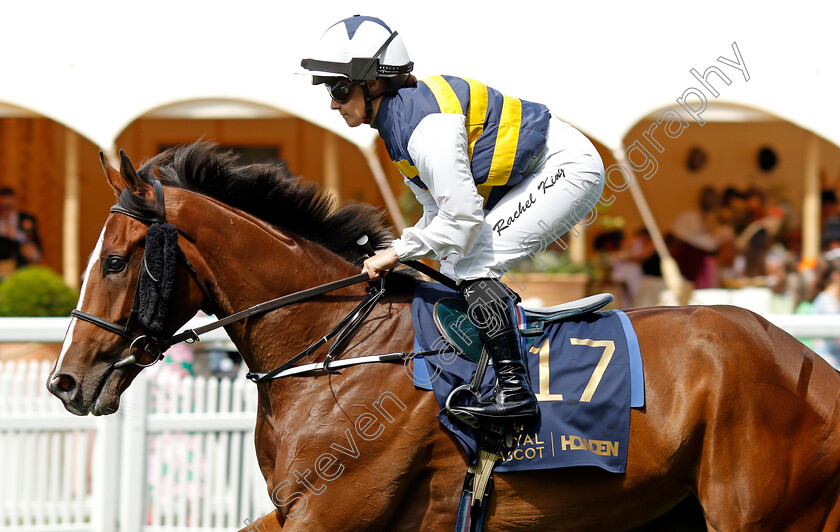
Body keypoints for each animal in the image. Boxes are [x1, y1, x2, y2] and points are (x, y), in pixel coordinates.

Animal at [49, 142, 840, 532]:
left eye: (114, 261)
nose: (65, 380)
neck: (333, 349)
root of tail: (813, 366)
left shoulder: (334, 511)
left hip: (758, 514)